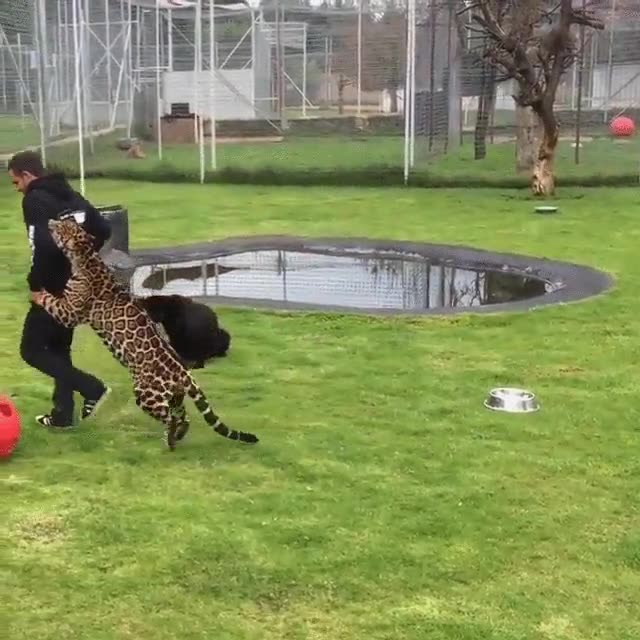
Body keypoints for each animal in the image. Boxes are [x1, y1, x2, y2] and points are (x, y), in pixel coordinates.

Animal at [33, 217, 259, 451]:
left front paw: (37, 293)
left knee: (171, 417)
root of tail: (183, 372)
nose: (51, 220)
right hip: (174, 396)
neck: (86, 257)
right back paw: (176, 437)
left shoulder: (70, 312)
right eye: (65, 222)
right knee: (183, 416)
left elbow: (52, 301)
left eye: (62, 227)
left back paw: (170, 441)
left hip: (147, 395)